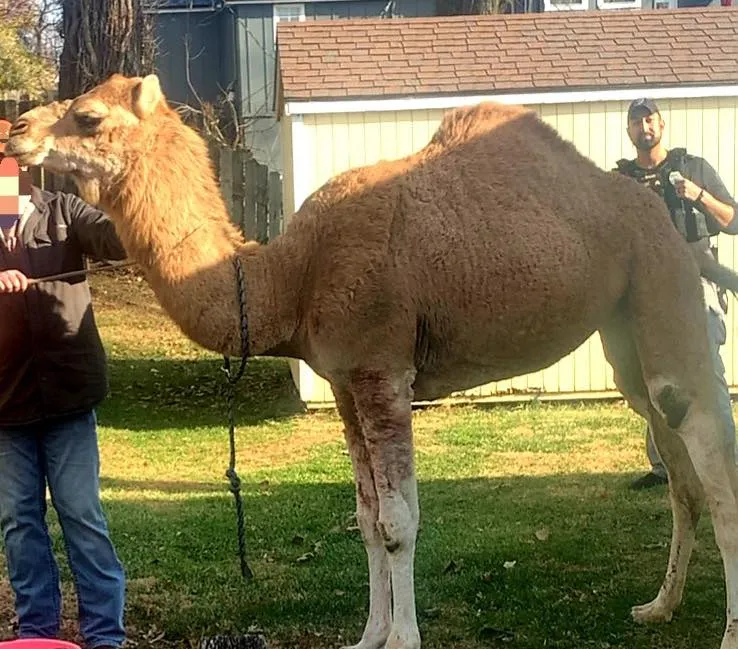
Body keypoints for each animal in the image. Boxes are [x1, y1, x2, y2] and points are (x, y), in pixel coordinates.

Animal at [7, 73, 738, 649]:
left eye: (88, 115)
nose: (16, 130)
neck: (291, 276)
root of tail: (660, 210)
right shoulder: (341, 381)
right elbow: (363, 519)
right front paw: (368, 635)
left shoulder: (383, 371)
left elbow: (396, 520)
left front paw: (404, 638)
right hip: (623, 330)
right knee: (678, 470)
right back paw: (659, 606)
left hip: (661, 282)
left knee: (710, 459)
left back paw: (728, 632)